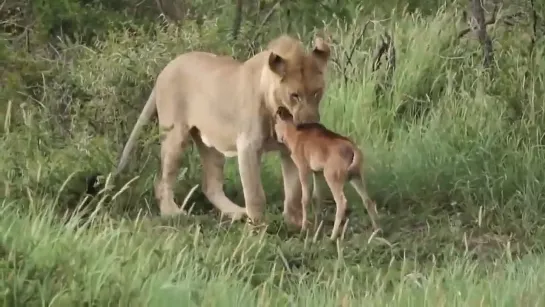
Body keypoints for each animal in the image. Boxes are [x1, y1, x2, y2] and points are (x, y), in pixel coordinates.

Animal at [272, 107, 378, 242]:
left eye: (275, 122)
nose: (275, 136)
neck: (295, 134)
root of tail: (353, 148)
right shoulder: (317, 172)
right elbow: (317, 197)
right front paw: (317, 228)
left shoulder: (304, 169)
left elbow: (305, 198)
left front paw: (304, 229)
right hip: (356, 177)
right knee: (367, 200)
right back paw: (377, 230)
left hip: (332, 178)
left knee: (341, 202)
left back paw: (333, 237)